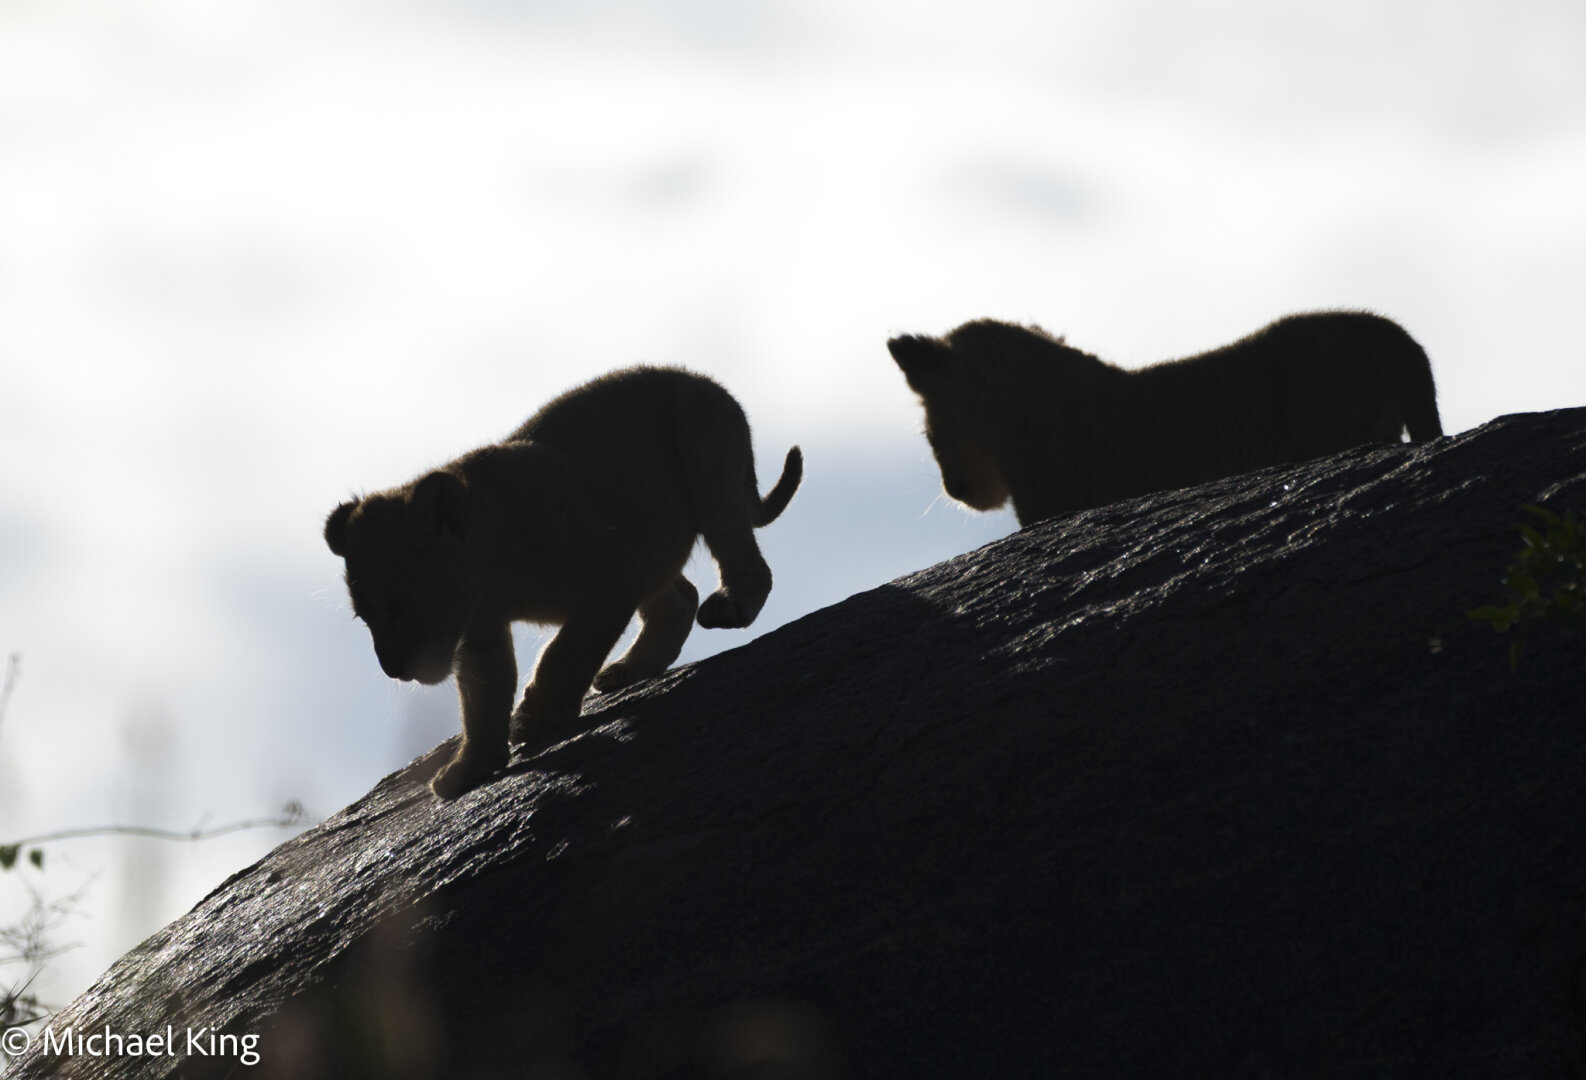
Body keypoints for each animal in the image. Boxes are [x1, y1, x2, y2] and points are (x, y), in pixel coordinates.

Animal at [325, 366, 802, 798]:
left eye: (397, 606)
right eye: (364, 617)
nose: (392, 668)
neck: (492, 577)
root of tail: (705, 380)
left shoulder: (615, 574)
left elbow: (565, 652)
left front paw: (537, 714)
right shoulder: (482, 632)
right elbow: (482, 699)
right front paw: (472, 768)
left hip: (707, 457)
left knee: (740, 554)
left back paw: (731, 605)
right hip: (651, 542)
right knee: (680, 598)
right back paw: (627, 670)